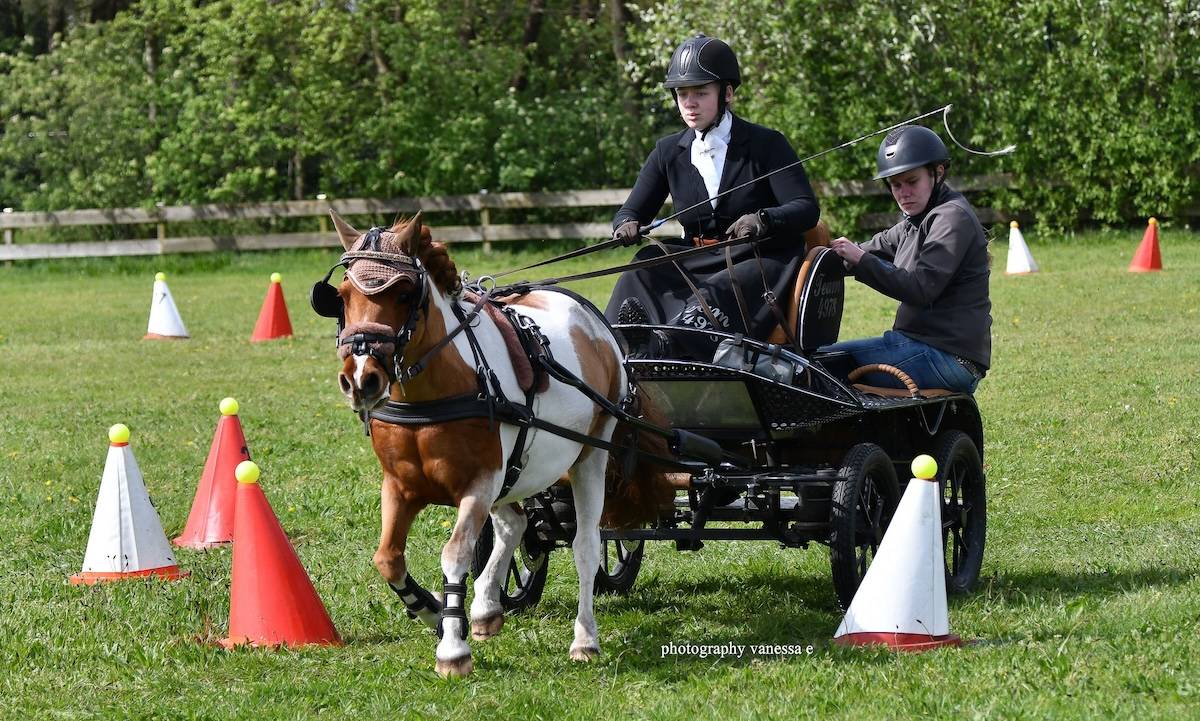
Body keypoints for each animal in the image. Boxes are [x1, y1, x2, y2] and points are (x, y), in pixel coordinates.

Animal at [315, 211, 673, 677]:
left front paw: (452, 646)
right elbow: (388, 559)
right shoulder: (399, 486)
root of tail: (594, 321)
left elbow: (455, 553)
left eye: (404, 293)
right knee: (516, 524)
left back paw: (585, 638)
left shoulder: (480, 484)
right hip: (517, 472)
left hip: (590, 455)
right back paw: (487, 607)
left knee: (587, 543)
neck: (439, 391)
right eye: (340, 296)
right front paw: (435, 611)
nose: (361, 379)